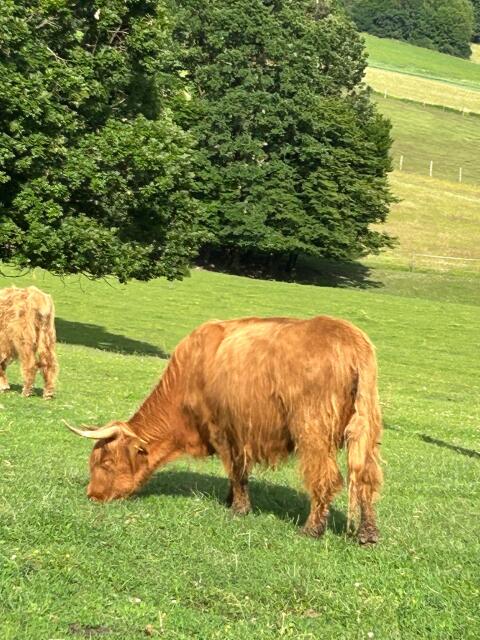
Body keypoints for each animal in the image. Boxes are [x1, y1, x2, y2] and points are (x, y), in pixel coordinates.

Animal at [66, 315, 383, 543]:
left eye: (106, 462)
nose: (92, 495)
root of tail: (349, 338)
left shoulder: (223, 429)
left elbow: (236, 471)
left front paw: (238, 508)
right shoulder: (239, 434)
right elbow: (238, 472)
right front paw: (231, 499)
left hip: (312, 428)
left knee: (325, 477)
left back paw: (312, 529)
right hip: (367, 425)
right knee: (367, 475)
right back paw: (368, 533)